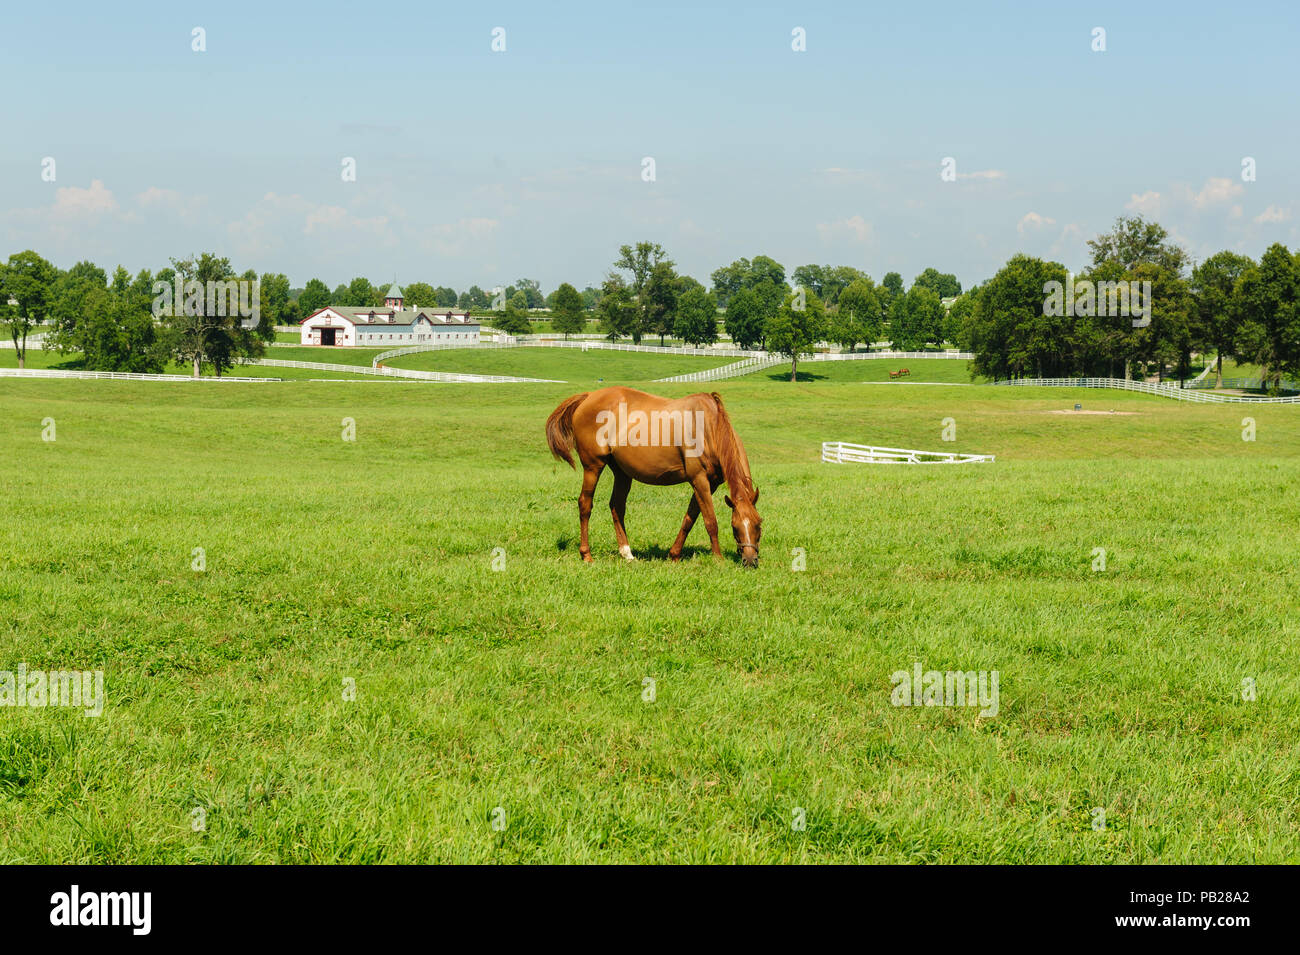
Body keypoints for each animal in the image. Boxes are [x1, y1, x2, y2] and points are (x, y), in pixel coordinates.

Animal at [545, 387, 762, 566]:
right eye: (734, 527)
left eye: (759, 524)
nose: (750, 560)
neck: (708, 427)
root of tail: (588, 396)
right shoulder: (699, 480)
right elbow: (710, 521)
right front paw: (718, 559)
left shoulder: (710, 483)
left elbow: (689, 519)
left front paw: (674, 555)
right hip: (593, 467)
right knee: (585, 504)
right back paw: (586, 555)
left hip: (622, 473)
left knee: (617, 506)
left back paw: (627, 554)